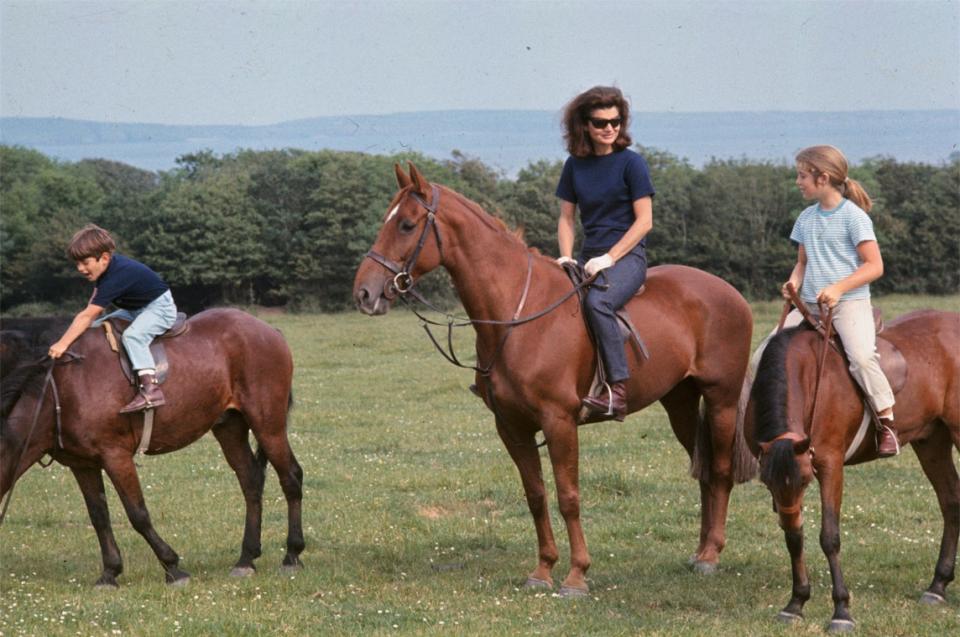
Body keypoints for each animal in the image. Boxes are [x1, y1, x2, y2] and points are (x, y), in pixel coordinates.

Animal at [0, 308, 306, 588]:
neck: (59, 393)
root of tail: (268, 330)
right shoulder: (82, 464)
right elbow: (99, 516)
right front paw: (110, 573)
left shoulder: (116, 456)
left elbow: (138, 514)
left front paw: (172, 567)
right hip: (230, 427)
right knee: (251, 482)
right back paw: (246, 559)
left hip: (268, 424)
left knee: (290, 477)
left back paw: (292, 554)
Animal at [352, 164, 756, 596]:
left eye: (407, 225)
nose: (364, 293)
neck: (517, 313)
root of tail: (729, 292)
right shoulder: (512, 427)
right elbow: (536, 495)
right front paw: (543, 569)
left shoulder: (559, 422)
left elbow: (568, 496)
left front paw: (577, 575)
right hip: (680, 403)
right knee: (703, 472)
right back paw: (699, 553)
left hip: (721, 399)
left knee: (721, 470)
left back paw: (711, 556)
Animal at [752, 310, 960, 632]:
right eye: (767, 483)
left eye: (805, 481)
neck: (811, 379)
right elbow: (794, 536)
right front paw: (796, 603)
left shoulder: (830, 465)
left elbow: (829, 537)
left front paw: (841, 611)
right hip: (932, 441)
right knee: (951, 501)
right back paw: (937, 586)